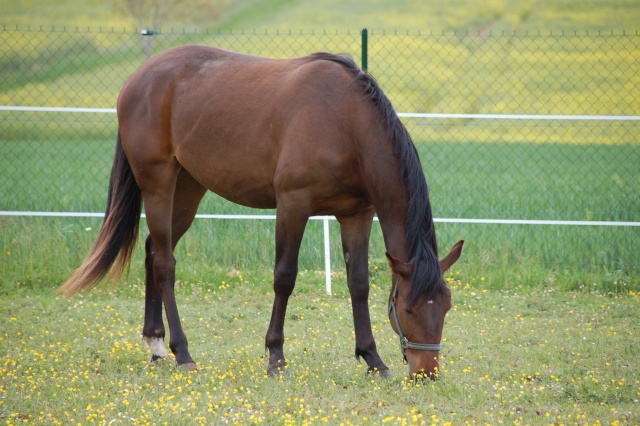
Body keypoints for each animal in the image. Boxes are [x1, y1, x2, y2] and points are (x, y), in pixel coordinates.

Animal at [57, 45, 462, 380]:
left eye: (446, 307)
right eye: (408, 310)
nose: (427, 373)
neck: (345, 123)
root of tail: (138, 79)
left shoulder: (357, 214)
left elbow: (358, 283)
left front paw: (372, 359)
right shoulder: (293, 204)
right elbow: (285, 278)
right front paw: (276, 357)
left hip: (188, 188)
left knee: (153, 251)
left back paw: (156, 346)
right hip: (158, 183)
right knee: (165, 264)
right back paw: (182, 353)